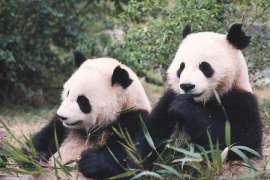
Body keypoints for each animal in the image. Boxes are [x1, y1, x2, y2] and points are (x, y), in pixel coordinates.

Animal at [30, 51, 152, 179]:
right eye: (68, 93)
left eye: (82, 100)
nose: (61, 116)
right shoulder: (63, 128)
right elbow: (46, 136)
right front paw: (35, 156)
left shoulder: (135, 121)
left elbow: (132, 162)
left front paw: (89, 161)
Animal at [137, 23, 262, 167]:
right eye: (181, 67)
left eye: (205, 67)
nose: (187, 86)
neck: (202, 101)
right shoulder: (169, 98)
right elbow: (150, 136)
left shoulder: (240, 99)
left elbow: (241, 142)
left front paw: (183, 106)